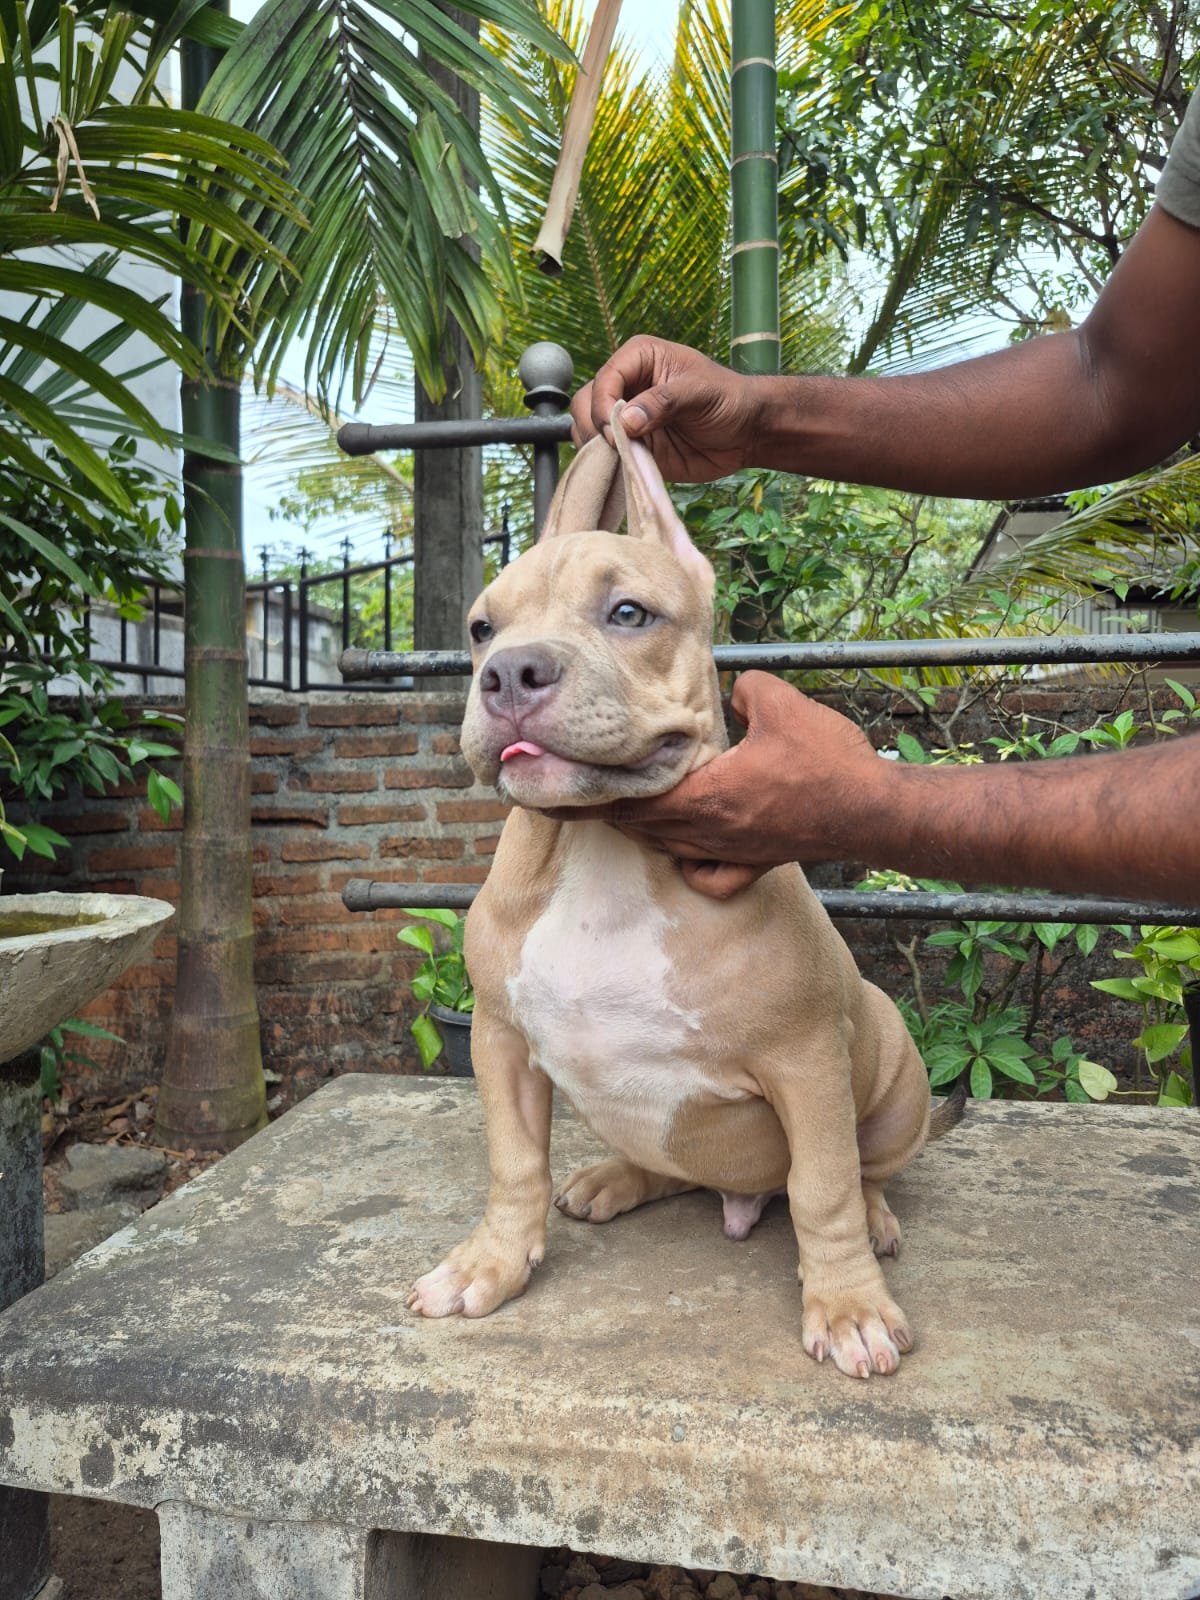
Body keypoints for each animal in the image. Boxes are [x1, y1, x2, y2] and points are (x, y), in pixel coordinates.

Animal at [408, 404, 961, 1379]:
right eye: (479, 628)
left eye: (629, 613)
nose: (509, 672)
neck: (600, 841)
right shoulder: (501, 1042)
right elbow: (514, 1165)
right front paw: (489, 1264)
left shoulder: (807, 1061)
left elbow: (821, 1187)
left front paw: (848, 1306)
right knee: (671, 1167)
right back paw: (615, 1179)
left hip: (893, 1067)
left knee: (859, 1172)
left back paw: (876, 1220)